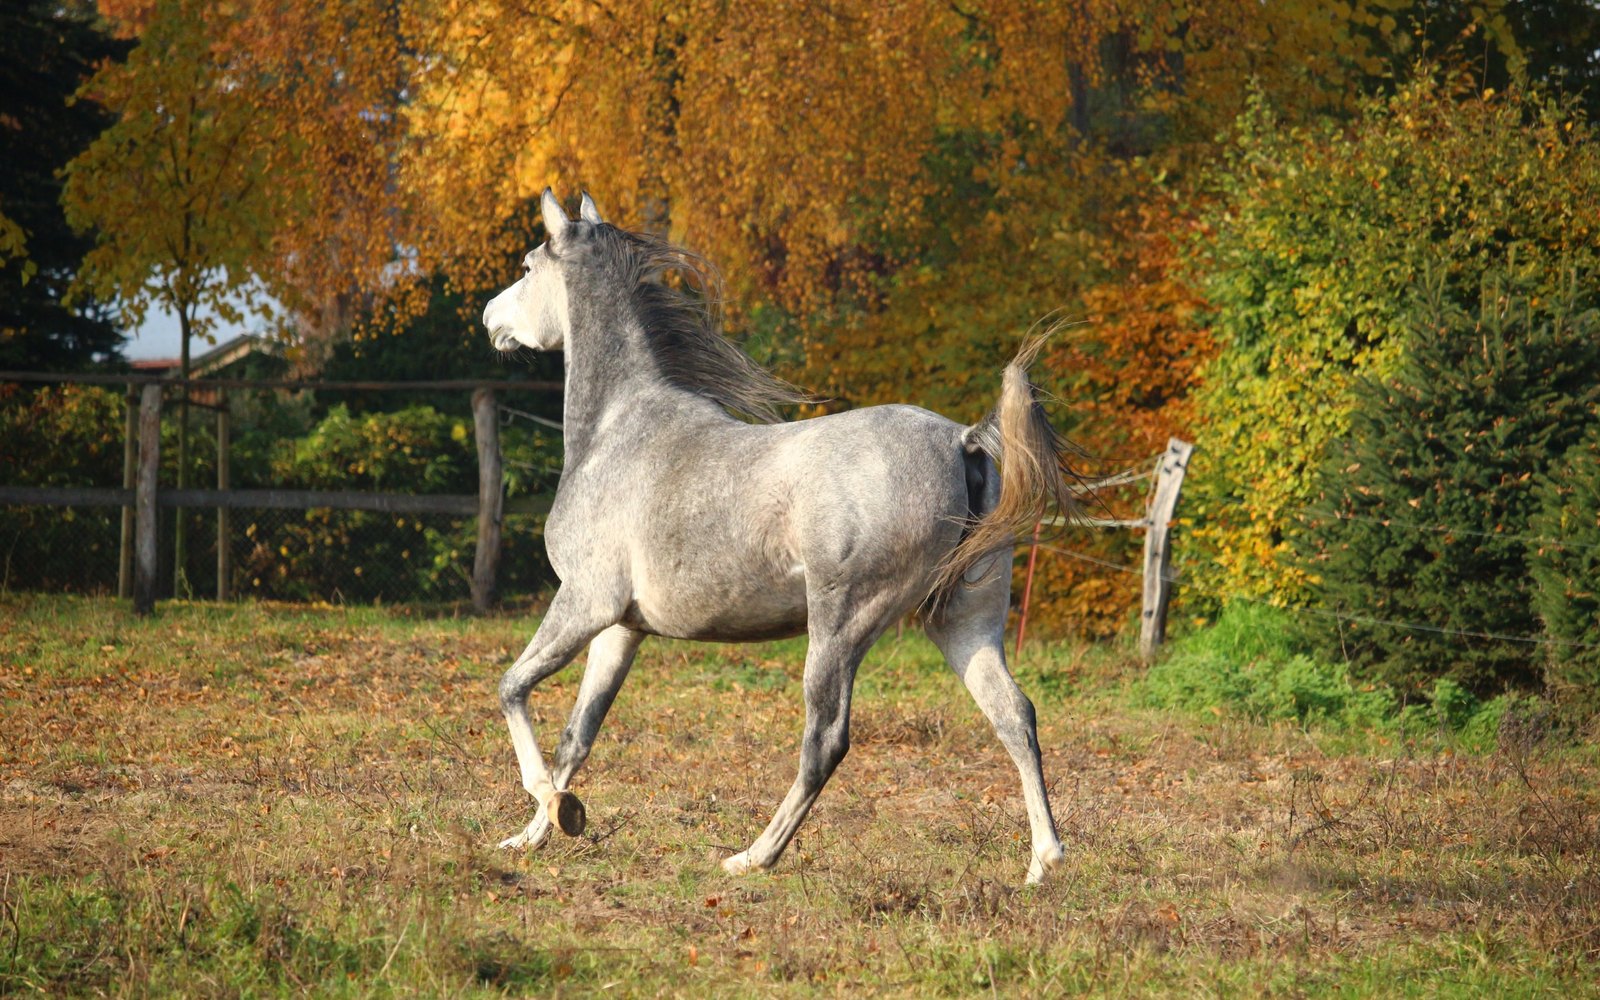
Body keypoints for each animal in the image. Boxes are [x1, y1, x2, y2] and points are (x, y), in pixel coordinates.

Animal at [480, 187, 1081, 883]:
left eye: (527, 268)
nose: (489, 318)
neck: (616, 432)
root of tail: (963, 440)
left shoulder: (584, 601)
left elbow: (513, 688)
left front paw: (553, 807)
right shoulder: (621, 629)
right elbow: (577, 735)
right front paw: (534, 835)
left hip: (840, 626)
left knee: (826, 741)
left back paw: (752, 857)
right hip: (962, 621)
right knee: (1015, 715)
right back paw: (1042, 864)